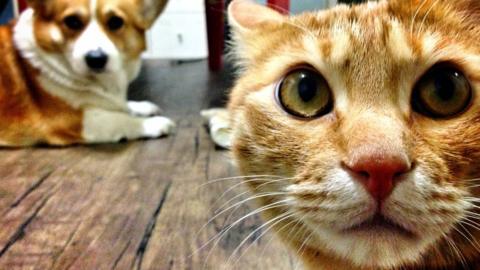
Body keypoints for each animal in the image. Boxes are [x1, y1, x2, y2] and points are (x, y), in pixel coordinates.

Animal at [0, 0, 175, 148]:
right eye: (72, 21)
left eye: (115, 22)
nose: (96, 59)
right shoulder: (74, 122)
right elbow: (119, 119)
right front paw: (154, 123)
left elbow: (122, 106)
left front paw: (141, 106)